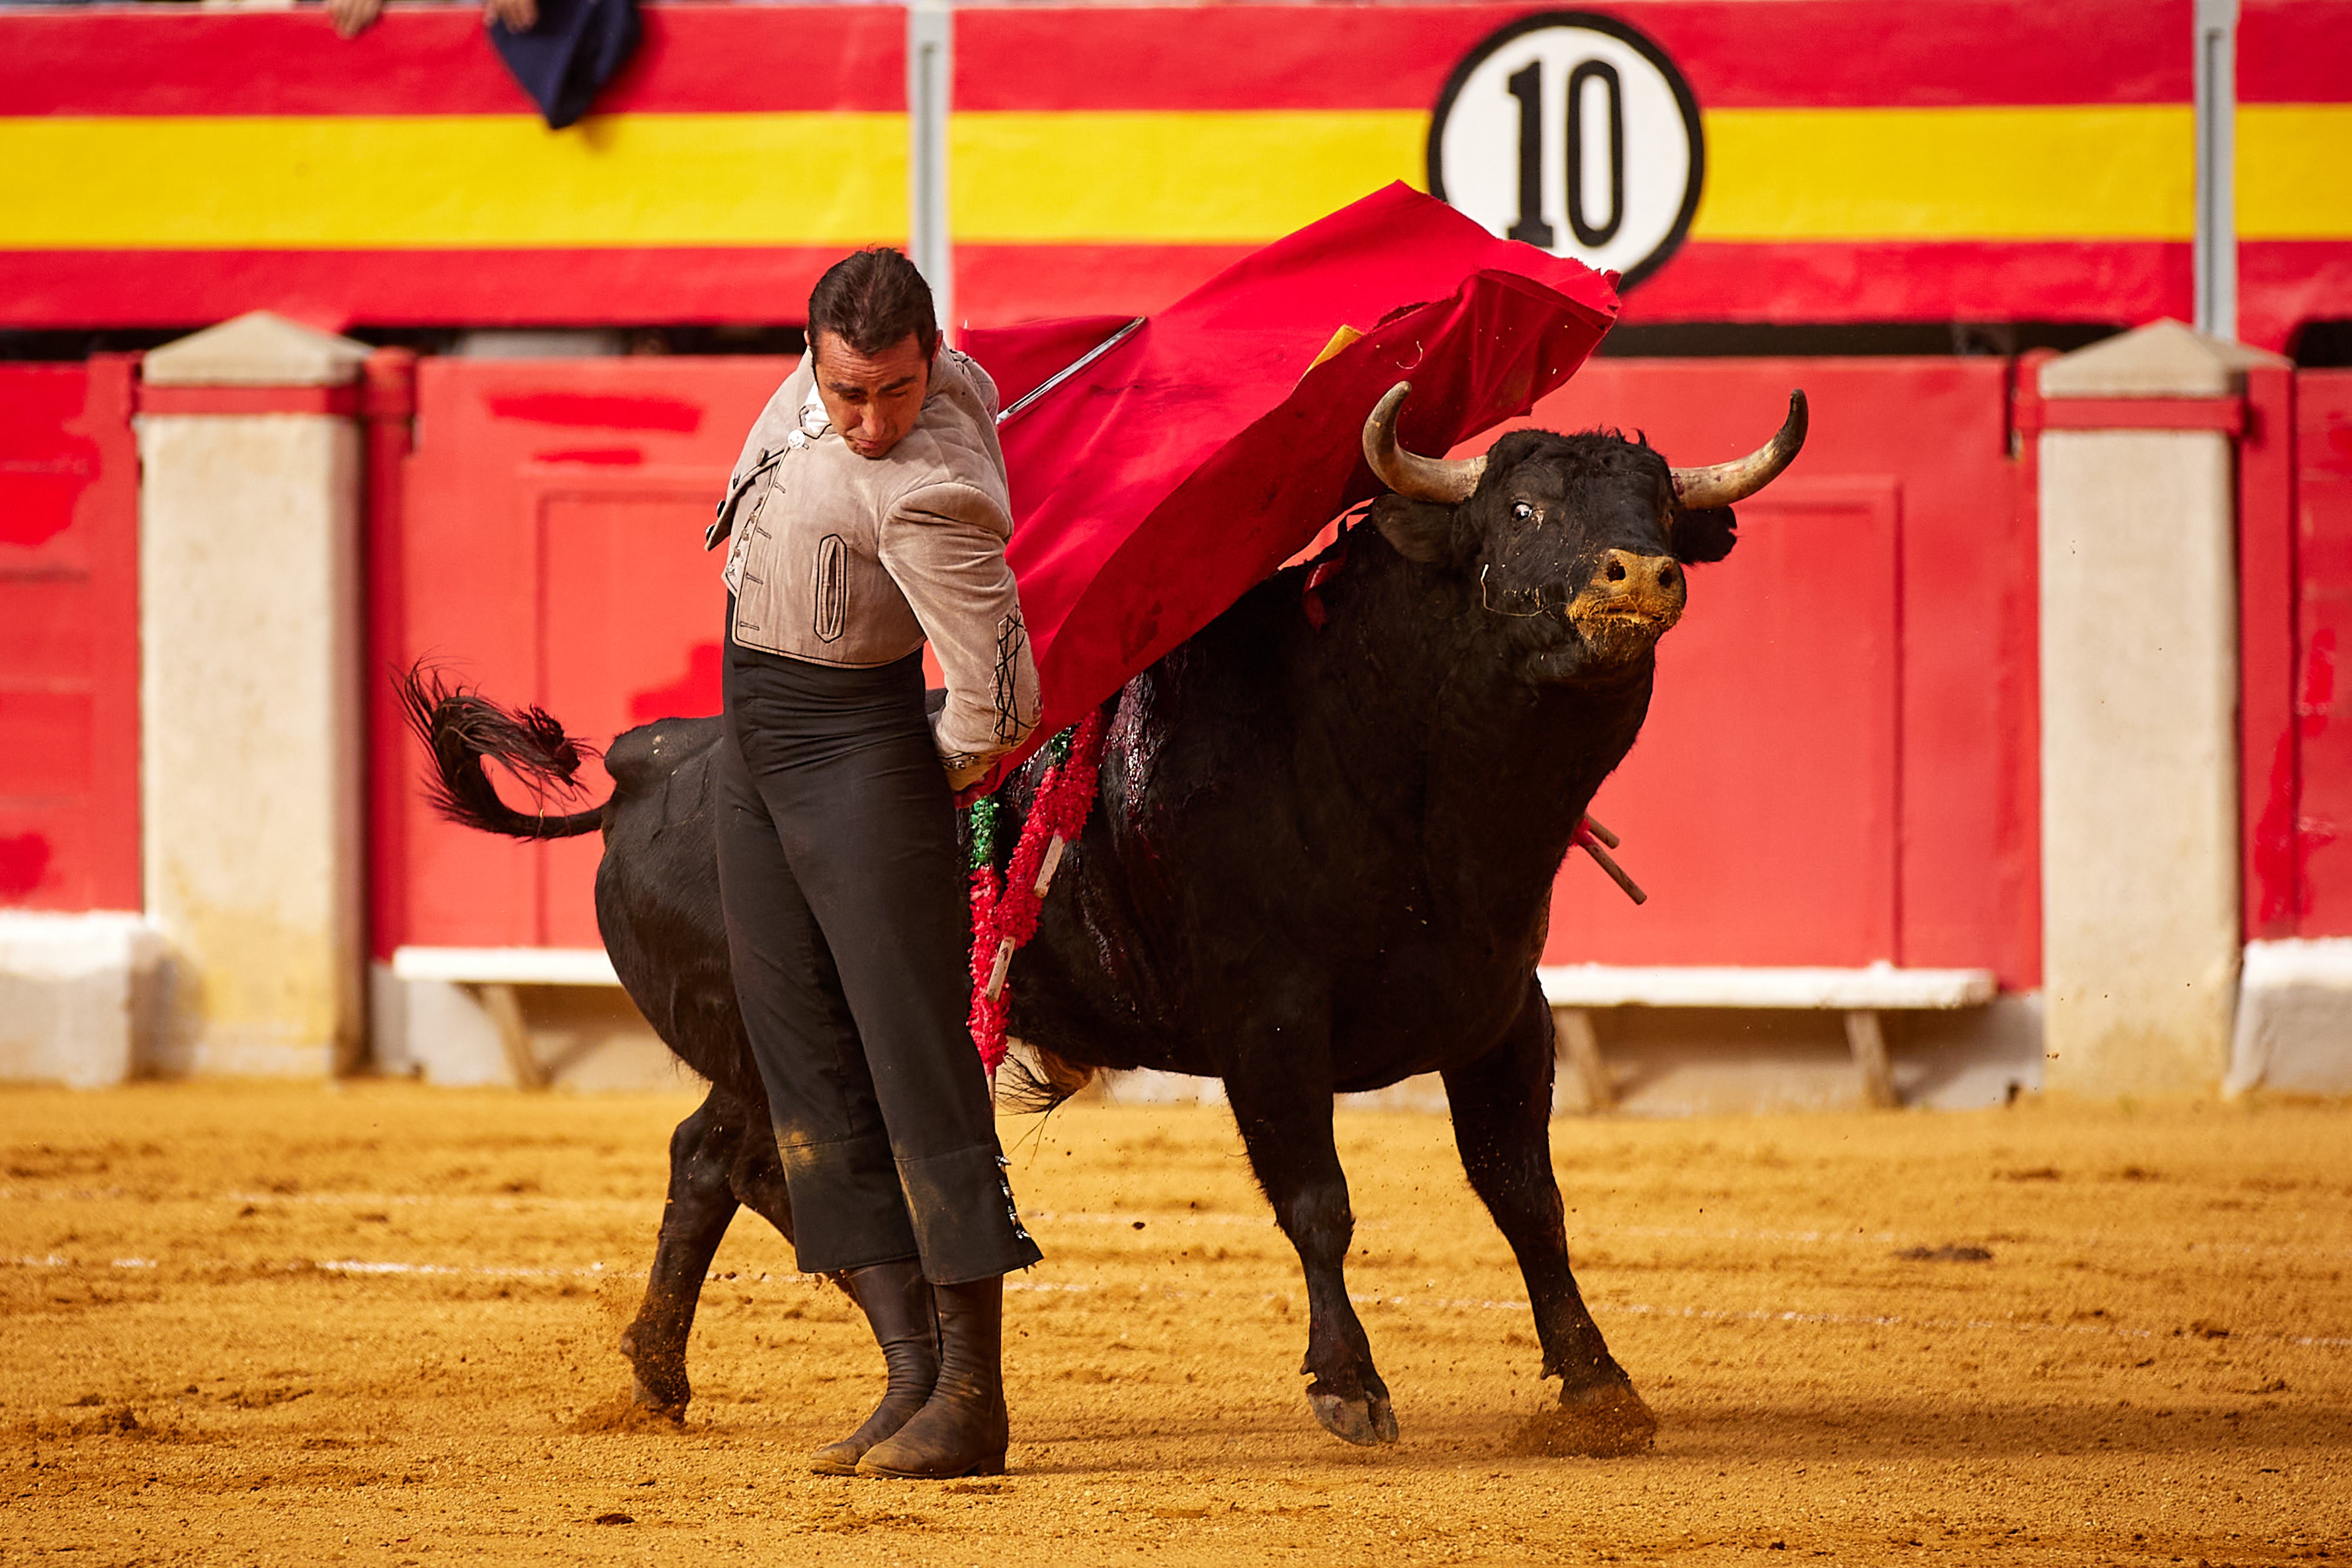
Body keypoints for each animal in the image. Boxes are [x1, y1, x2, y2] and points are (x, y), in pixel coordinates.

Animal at [400, 390, 1797, 1457]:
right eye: (1521, 512)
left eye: (1656, 508)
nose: (1640, 574)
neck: (1401, 769)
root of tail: (650, 764)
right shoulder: (1267, 1023)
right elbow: (1319, 1199)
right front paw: (1350, 1384)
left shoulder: (1505, 1013)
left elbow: (1527, 1196)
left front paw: (1600, 1387)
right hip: (775, 1032)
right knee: (760, 1161)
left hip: (763, 1047)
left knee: (710, 1156)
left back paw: (662, 1374)